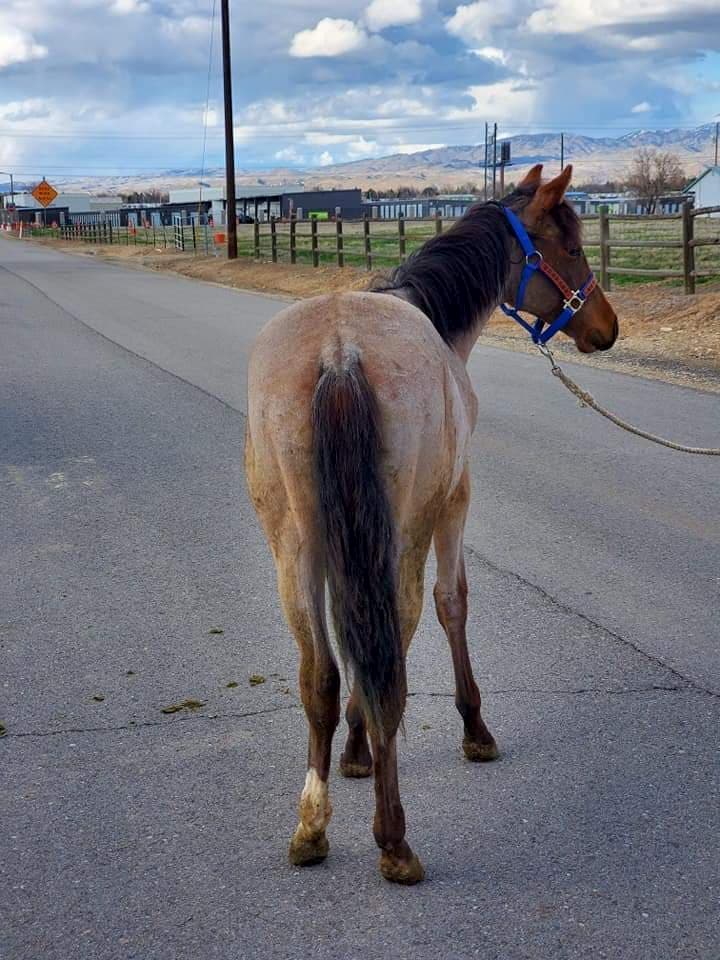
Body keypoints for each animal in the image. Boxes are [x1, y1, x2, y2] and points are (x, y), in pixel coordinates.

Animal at [245, 163, 616, 884]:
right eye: (572, 248)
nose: (606, 327)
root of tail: (339, 351)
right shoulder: (453, 503)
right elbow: (450, 606)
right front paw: (471, 730)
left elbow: (353, 650)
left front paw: (353, 752)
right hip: (404, 533)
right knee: (394, 655)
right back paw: (394, 840)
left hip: (293, 549)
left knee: (320, 676)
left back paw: (312, 828)